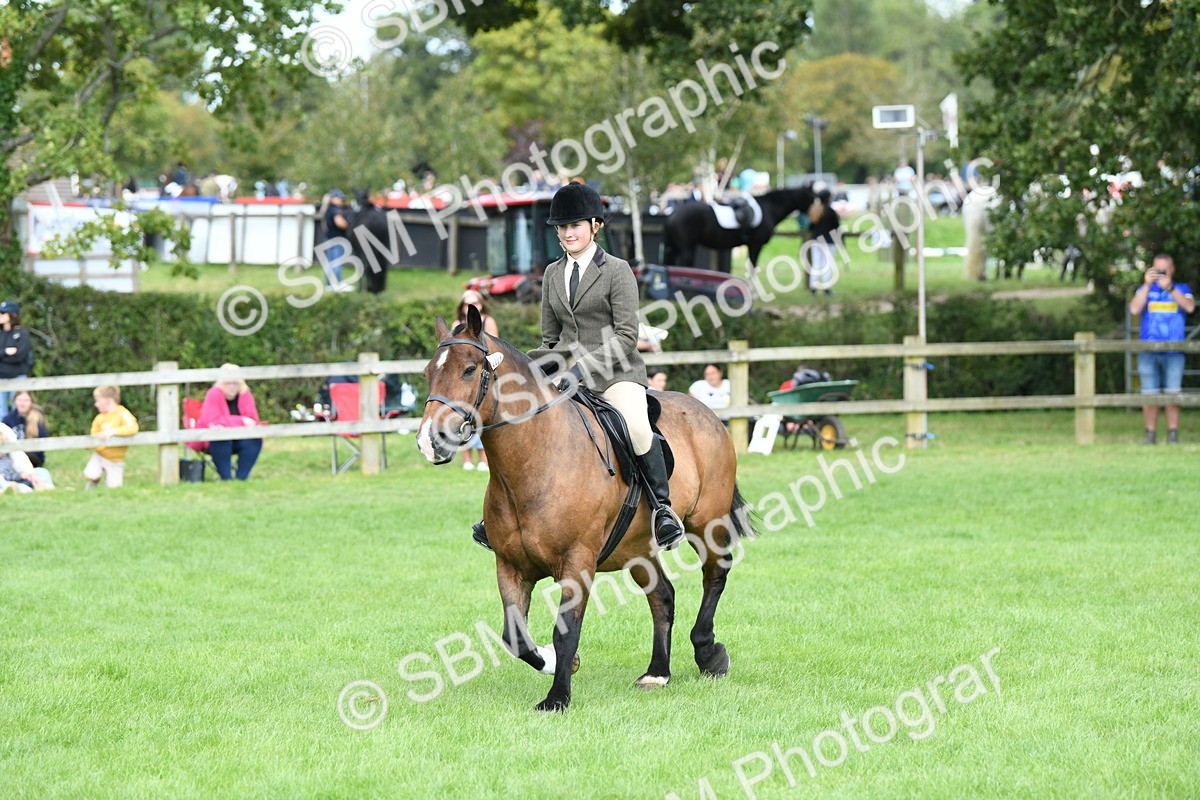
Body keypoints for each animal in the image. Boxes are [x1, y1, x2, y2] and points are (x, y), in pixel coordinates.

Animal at [416, 306, 756, 712]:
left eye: (469, 369)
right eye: (427, 373)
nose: (430, 441)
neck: (536, 459)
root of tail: (709, 415)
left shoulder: (577, 563)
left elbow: (565, 630)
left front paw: (557, 697)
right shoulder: (510, 565)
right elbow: (515, 637)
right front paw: (555, 663)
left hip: (706, 524)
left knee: (715, 573)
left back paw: (708, 653)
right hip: (635, 549)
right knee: (662, 596)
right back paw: (657, 672)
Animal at [662, 185, 841, 272]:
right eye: (812, 197)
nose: (819, 215)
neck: (769, 207)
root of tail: (672, 215)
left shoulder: (751, 246)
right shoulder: (756, 245)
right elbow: (753, 268)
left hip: (674, 249)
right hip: (687, 249)